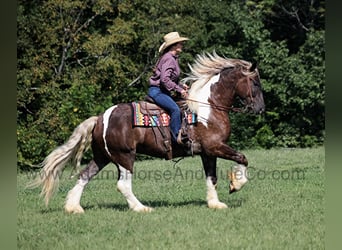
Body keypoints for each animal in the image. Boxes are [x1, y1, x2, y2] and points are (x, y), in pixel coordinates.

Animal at [30, 51, 264, 213]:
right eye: (254, 82)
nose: (260, 109)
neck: (208, 108)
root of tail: (100, 118)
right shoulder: (215, 147)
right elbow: (242, 158)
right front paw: (235, 184)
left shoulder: (207, 152)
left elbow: (211, 177)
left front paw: (215, 203)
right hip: (125, 157)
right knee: (123, 185)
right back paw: (141, 208)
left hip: (103, 156)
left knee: (84, 176)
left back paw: (73, 207)